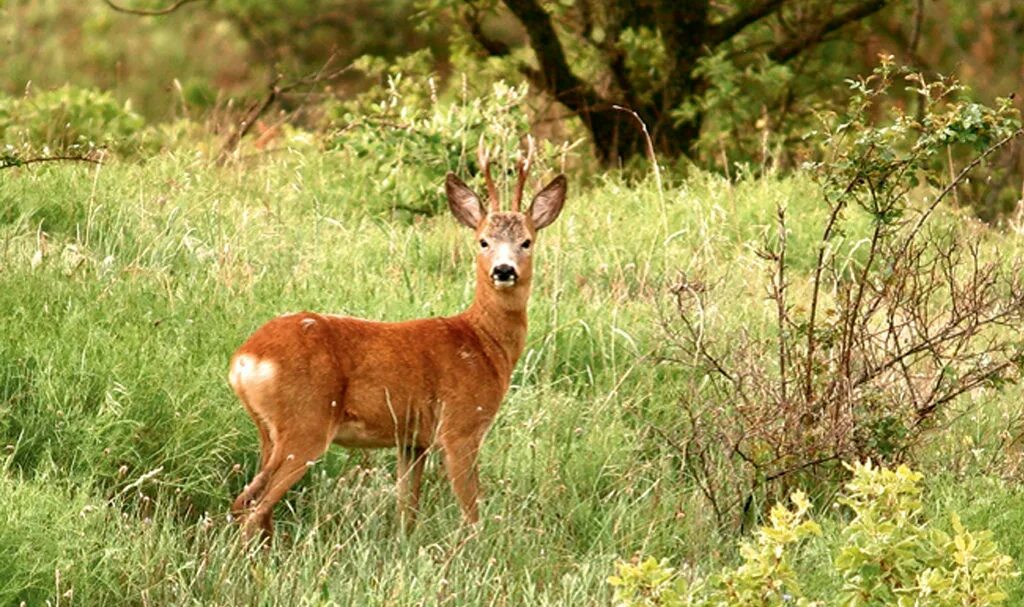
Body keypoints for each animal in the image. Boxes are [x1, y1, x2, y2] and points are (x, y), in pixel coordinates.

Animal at [226, 138, 569, 540]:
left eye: (526, 242)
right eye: (483, 241)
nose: (503, 270)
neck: (482, 344)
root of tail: (246, 359)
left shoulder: (412, 439)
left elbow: (407, 508)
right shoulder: (460, 426)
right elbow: (471, 511)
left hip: (269, 430)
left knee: (248, 504)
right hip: (305, 422)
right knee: (252, 506)